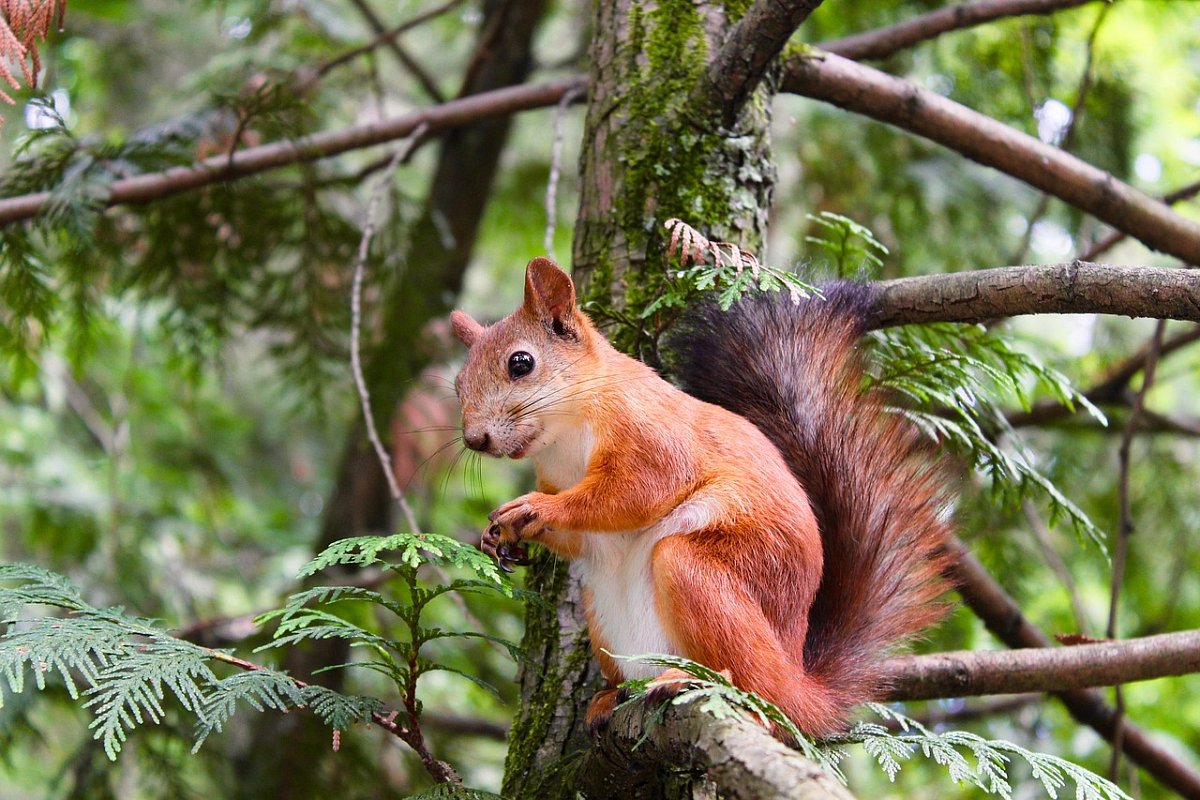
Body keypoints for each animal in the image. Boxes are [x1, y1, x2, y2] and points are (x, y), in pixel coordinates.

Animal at [451, 256, 955, 738]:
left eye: (521, 363)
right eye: (457, 385)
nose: (475, 440)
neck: (566, 435)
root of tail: (799, 684)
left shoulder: (652, 435)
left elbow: (634, 493)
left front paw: (536, 508)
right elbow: (581, 538)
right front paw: (501, 536)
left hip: (703, 573)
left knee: (757, 692)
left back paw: (694, 681)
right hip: (603, 615)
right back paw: (610, 696)